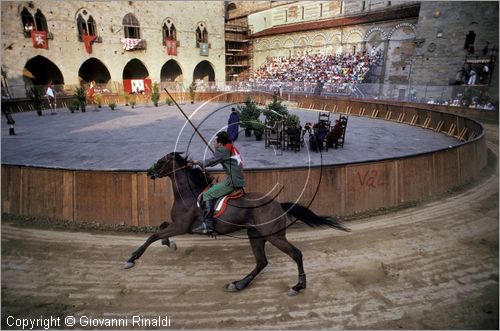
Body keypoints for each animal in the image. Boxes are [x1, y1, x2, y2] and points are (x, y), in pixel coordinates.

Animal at [125, 152, 352, 296]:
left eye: (161, 161)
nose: (148, 172)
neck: (188, 193)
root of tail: (278, 204)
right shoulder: (177, 224)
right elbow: (161, 227)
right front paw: (168, 243)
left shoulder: (182, 226)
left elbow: (154, 235)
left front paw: (131, 259)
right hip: (255, 235)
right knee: (262, 262)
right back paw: (239, 284)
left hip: (274, 236)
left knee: (295, 254)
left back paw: (298, 286)